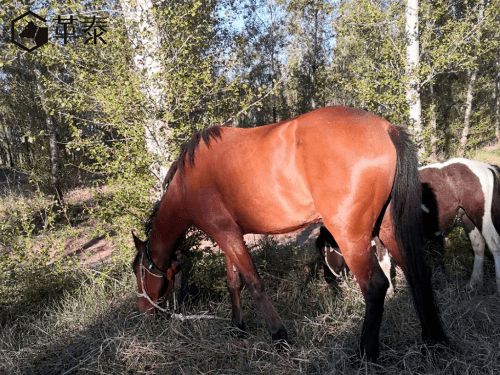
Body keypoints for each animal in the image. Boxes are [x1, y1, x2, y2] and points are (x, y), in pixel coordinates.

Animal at [131, 106, 448, 364]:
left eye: (139, 272)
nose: (143, 312)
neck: (189, 180)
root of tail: (385, 128)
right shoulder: (227, 233)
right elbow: (234, 282)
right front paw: (237, 325)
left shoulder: (226, 235)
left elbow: (255, 284)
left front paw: (279, 335)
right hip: (387, 227)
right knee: (417, 273)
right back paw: (433, 342)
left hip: (350, 235)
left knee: (375, 286)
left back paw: (365, 354)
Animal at [318, 157, 500, 296]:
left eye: (325, 250)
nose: (328, 279)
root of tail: (486, 166)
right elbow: (384, 262)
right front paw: (390, 293)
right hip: (466, 216)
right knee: (478, 246)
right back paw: (474, 282)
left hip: (480, 215)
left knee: (494, 244)